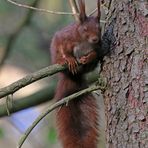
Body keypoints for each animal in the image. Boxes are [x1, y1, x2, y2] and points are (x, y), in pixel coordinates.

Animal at [50, 0, 102, 147]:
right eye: (85, 29)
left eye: (99, 28)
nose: (95, 39)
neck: (85, 42)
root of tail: (72, 77)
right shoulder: (67, 38)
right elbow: (64, 47)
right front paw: (69, 59)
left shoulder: (99, 47)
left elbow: (96, 54)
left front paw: (89, 58)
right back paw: (64, 61)